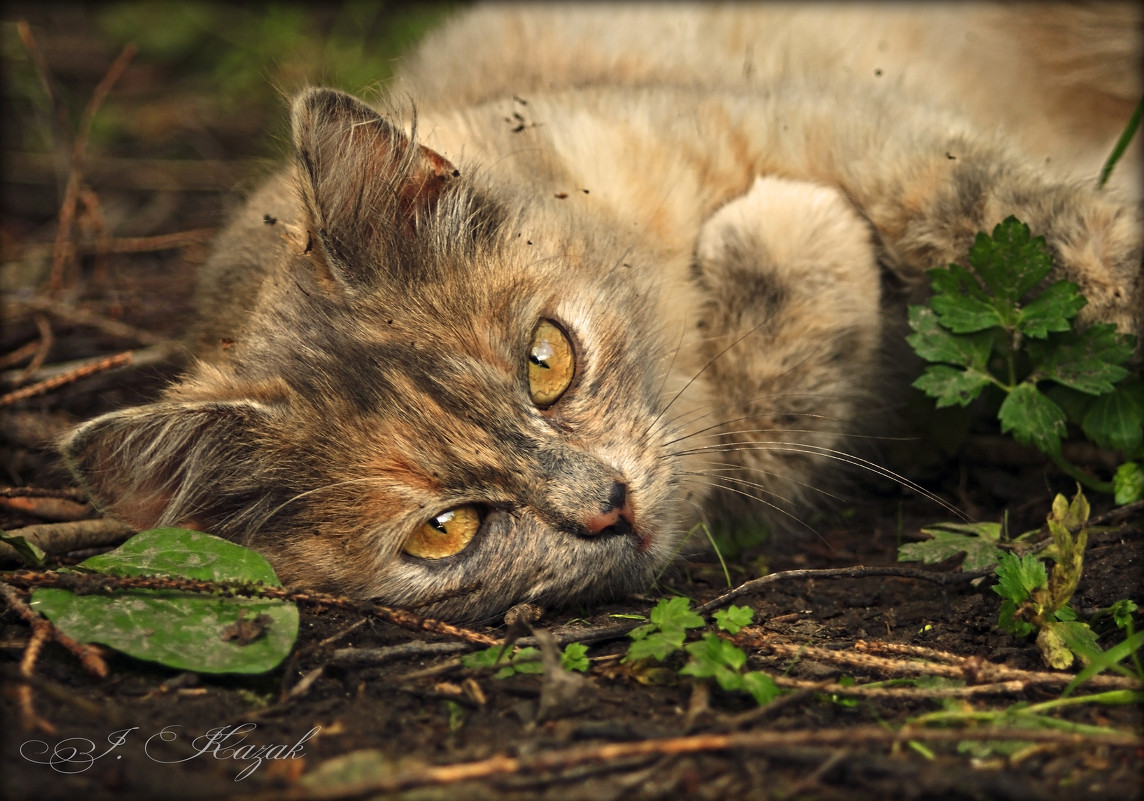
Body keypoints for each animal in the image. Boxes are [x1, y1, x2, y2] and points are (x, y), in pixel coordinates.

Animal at [62, 3, 1144, 622]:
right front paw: (788, 240)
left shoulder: (861, 132)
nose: (603, 507)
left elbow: (1027, 214)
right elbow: (773, 417)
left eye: (546, 361)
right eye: (445, 531)